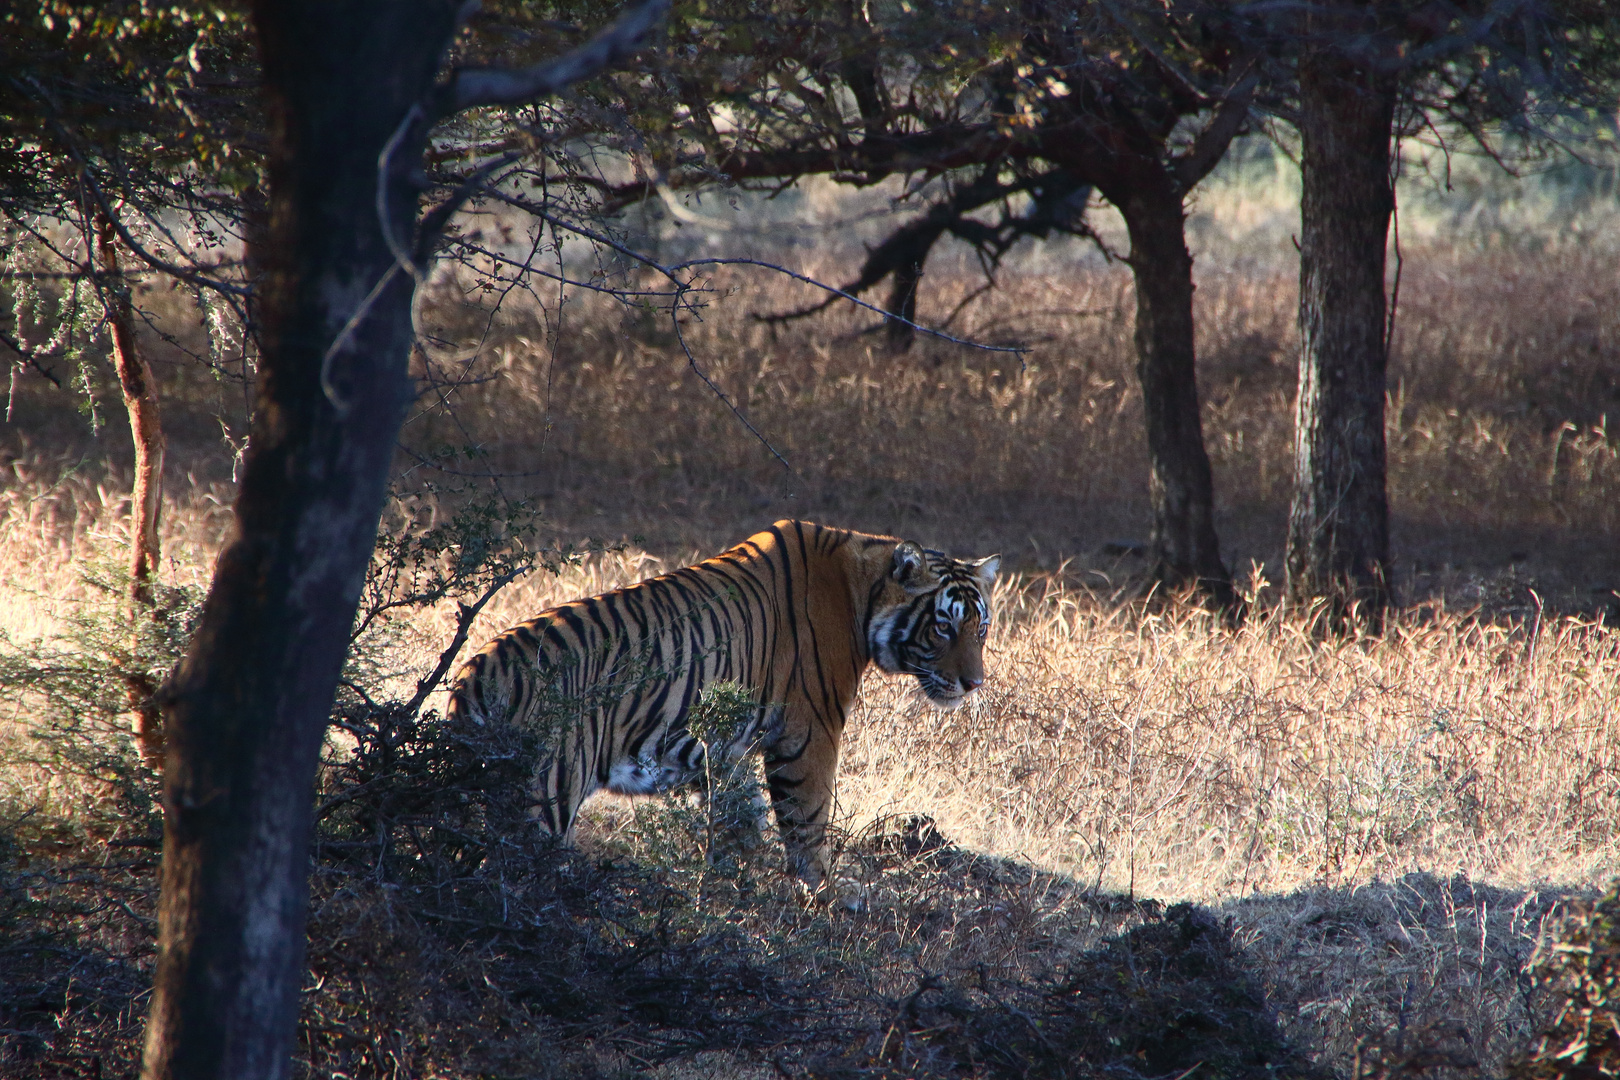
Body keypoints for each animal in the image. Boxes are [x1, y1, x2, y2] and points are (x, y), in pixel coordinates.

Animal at [447, 521, 997, 887]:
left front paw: (733, 889)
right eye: (943, 625)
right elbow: (808, 822)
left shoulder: (726, 750)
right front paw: (822, 896)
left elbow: (741, 818)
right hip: (545, 800)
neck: (863, 590)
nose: (974, 683)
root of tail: (476, 676)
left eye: (981, 627)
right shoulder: (809, 730)